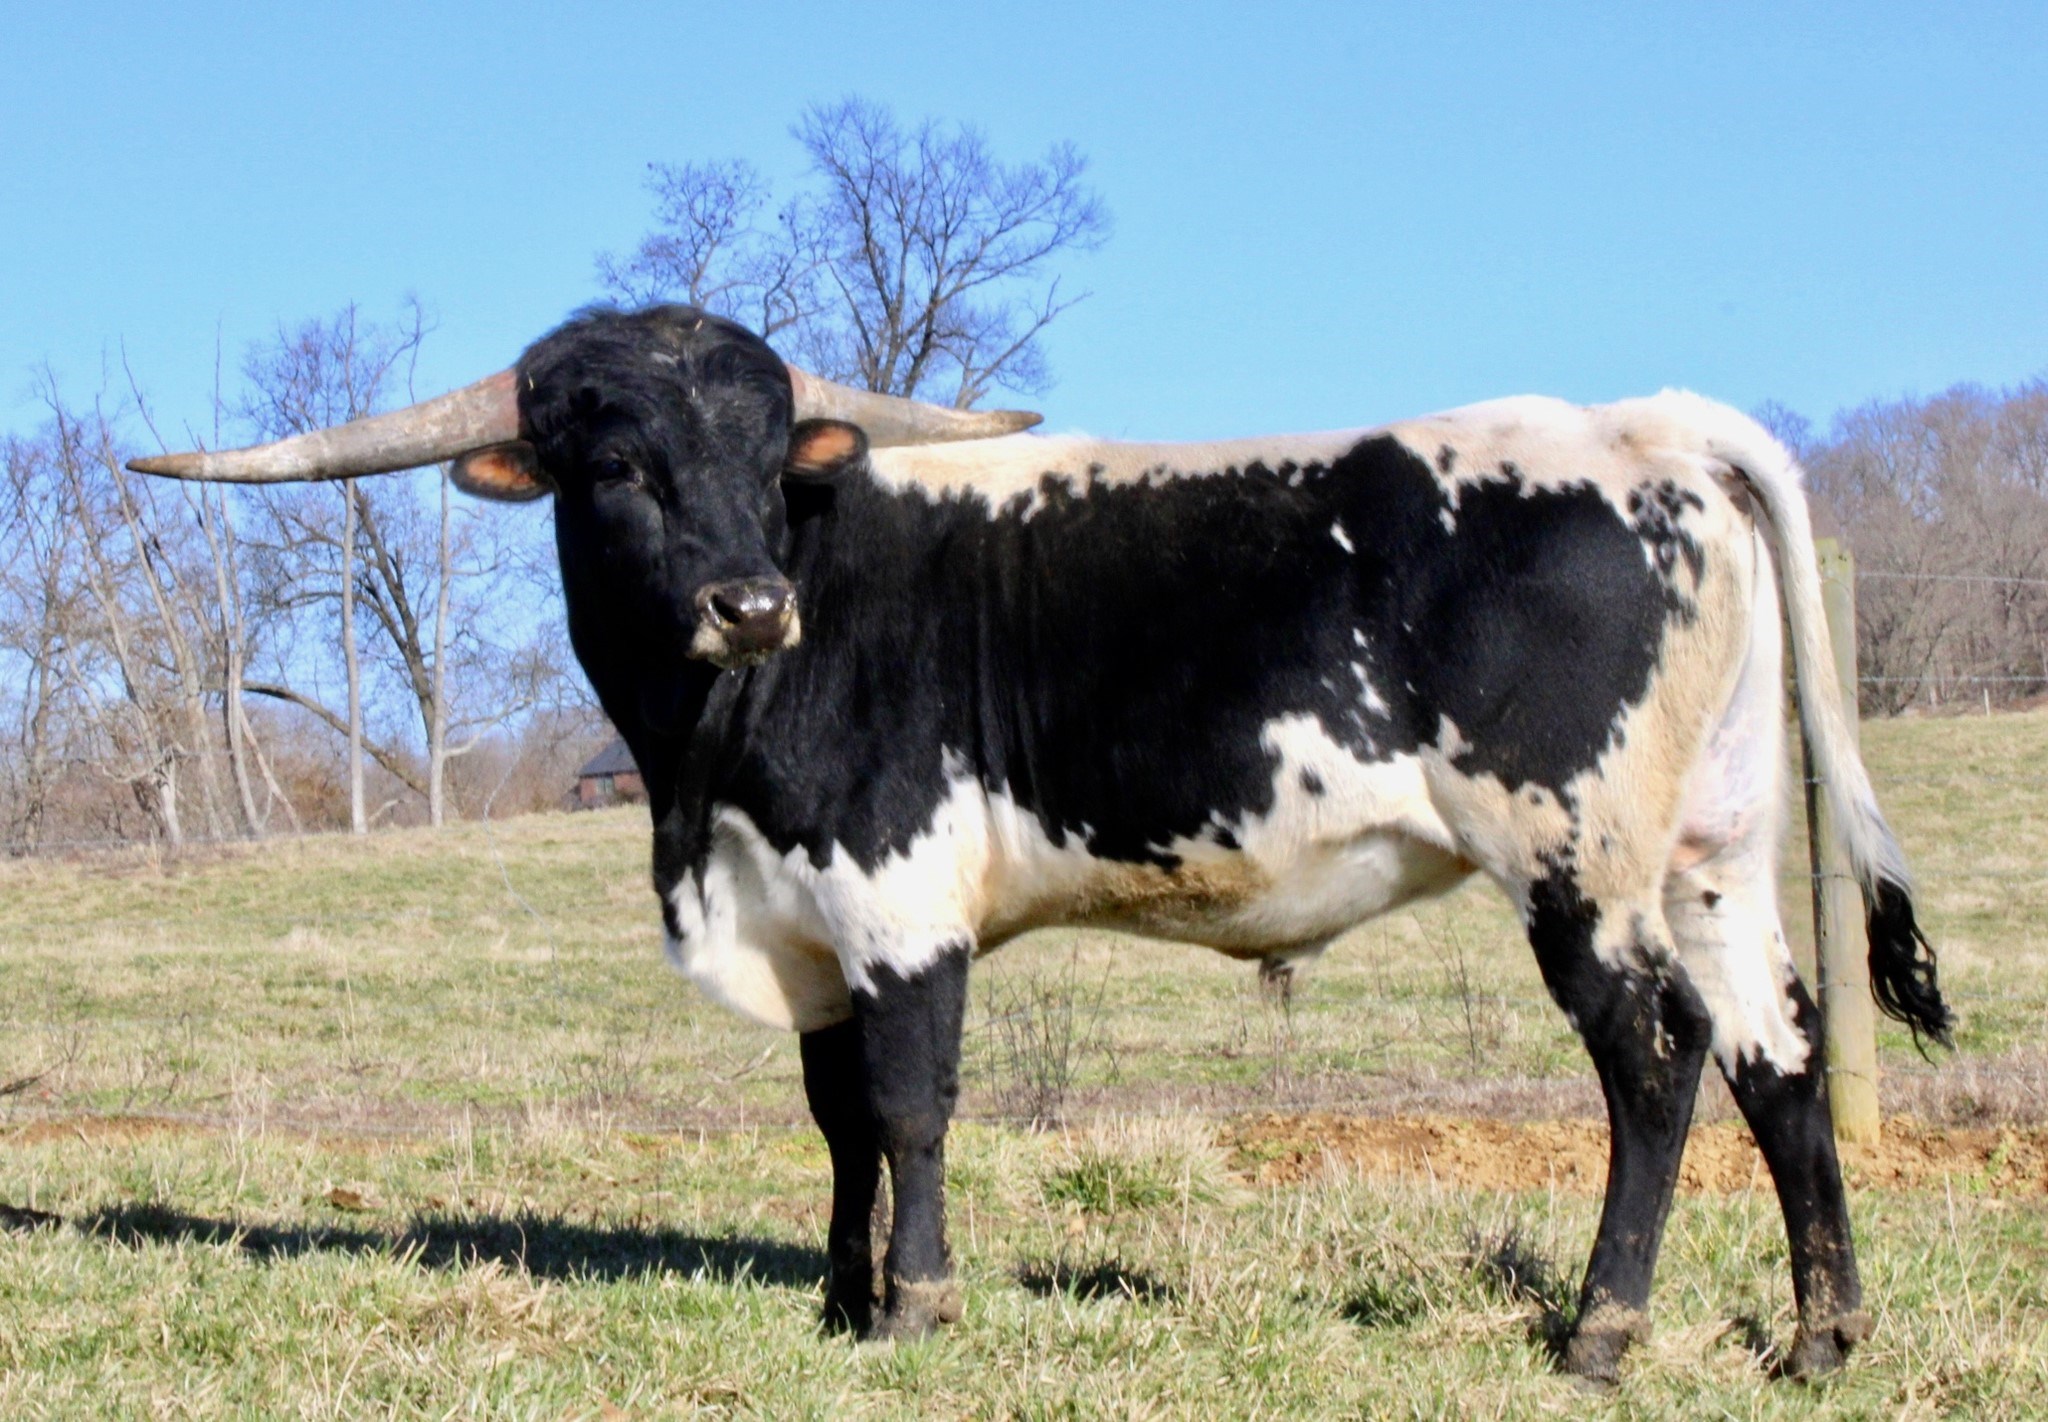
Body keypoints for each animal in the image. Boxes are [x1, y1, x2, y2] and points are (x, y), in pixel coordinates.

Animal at [132, 303, 1951, 1381]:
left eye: (766, 457)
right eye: (619, 462)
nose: (750, 602)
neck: (700, 786)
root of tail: (1643, 424)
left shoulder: (895, 892)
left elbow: (910, 1106)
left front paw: (918, 1304)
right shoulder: (807, 918)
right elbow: (834, 1118)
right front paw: (840, 1301)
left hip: (1575, 852)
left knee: (1655, 1057)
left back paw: (1599, 1330)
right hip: (1710, 846)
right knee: (1780, 1057)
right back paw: (1820, 1335)